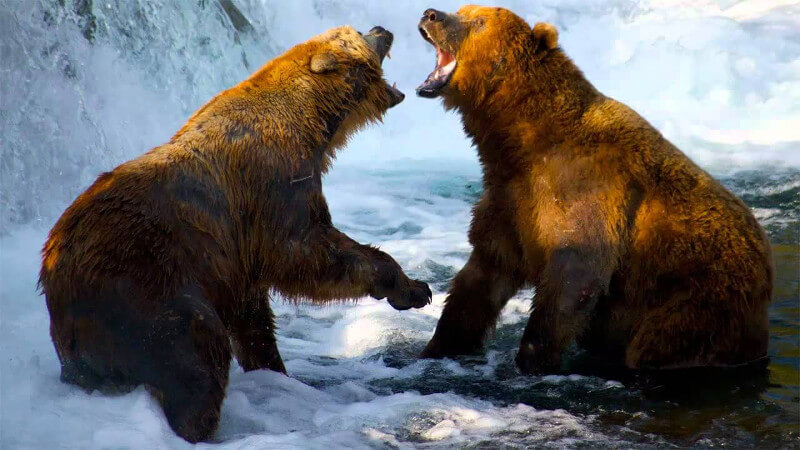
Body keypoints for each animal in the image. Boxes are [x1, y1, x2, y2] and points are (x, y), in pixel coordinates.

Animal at [40, 26, 431, 443]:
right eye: (355, 33)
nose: (383, 29)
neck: (313, 123)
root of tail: (53, 272)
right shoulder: (273, 188)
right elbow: (307, 253)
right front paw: (411, 288)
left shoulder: (237, 257)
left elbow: (253, 313)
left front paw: (272, 366)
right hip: (143, 288)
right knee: (196, 357)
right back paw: (200, 425)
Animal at [415, 6, 772, 376]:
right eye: (463, 11)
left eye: (479, 20)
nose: (431, 14)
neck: (520, 139)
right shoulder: (509, 199)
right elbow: (481, 277)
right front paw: (439, 345)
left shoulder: (584, 187)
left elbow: (575, 273)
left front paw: (532, 358)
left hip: (695, 296)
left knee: (660, 340)